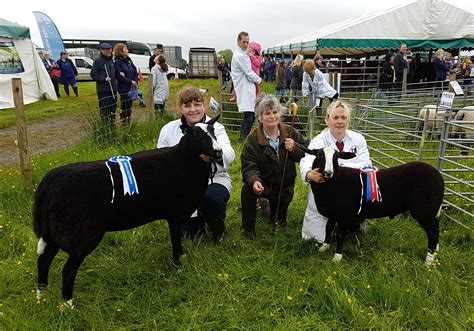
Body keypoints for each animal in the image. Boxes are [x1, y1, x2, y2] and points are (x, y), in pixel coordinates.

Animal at [34, 116, 223, 308]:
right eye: (197, 135)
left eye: (213, 131)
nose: (218, 152)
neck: (185, 160)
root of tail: (48, 182)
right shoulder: (174, 215)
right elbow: (176, 241)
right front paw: (178, 266)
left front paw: (181, 260)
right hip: (80, 232)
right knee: (67, 270)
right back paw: (68, 305)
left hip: (54, 232)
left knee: (43, 261)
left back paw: (41, 296)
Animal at [302, 148, 442, 268]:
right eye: (319, 155)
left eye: (336, 157)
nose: (328, 173)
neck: (334, 182)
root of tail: (439, 176)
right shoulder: (334, 212)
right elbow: (328, 227)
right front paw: (324, 247)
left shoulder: (343, 214)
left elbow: (340, 234)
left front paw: (337, 257)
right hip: (431, 211)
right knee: (436, 227)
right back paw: (436, 251)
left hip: (424, 210)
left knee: (432, 233)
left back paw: (428, 261)